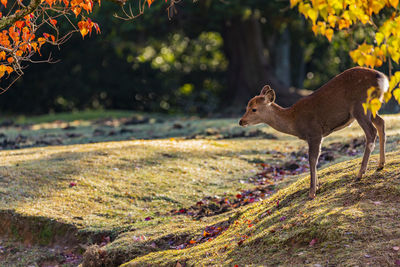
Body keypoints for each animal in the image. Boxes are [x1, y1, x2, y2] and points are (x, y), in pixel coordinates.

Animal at [239, 67, 390, 199]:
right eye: (247, 106)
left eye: (254, 109)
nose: (241, 121)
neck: (294, 121)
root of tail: (382, 79)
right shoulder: (316, 135)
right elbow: (315, 159)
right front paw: (316, 186)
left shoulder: (314, 132)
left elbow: (312, 159)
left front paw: (312, 192)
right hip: (371, 107)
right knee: (381, 123)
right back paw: (380, 164)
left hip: (361, 106)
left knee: (371, 132)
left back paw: (360, 173)